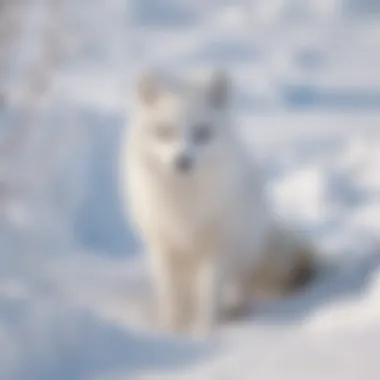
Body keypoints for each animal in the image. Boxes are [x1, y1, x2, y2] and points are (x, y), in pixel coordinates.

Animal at [121, 69, 314, 336]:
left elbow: (209, 293)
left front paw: (204, 331)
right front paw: (172, 329)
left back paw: (236, 308)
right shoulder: (164, 246)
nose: (182, 161)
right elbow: (171, 294)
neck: (184, 201)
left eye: (202, 133)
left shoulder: (216, 247)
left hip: (245, 247)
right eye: (165, 131)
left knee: (239, 283)